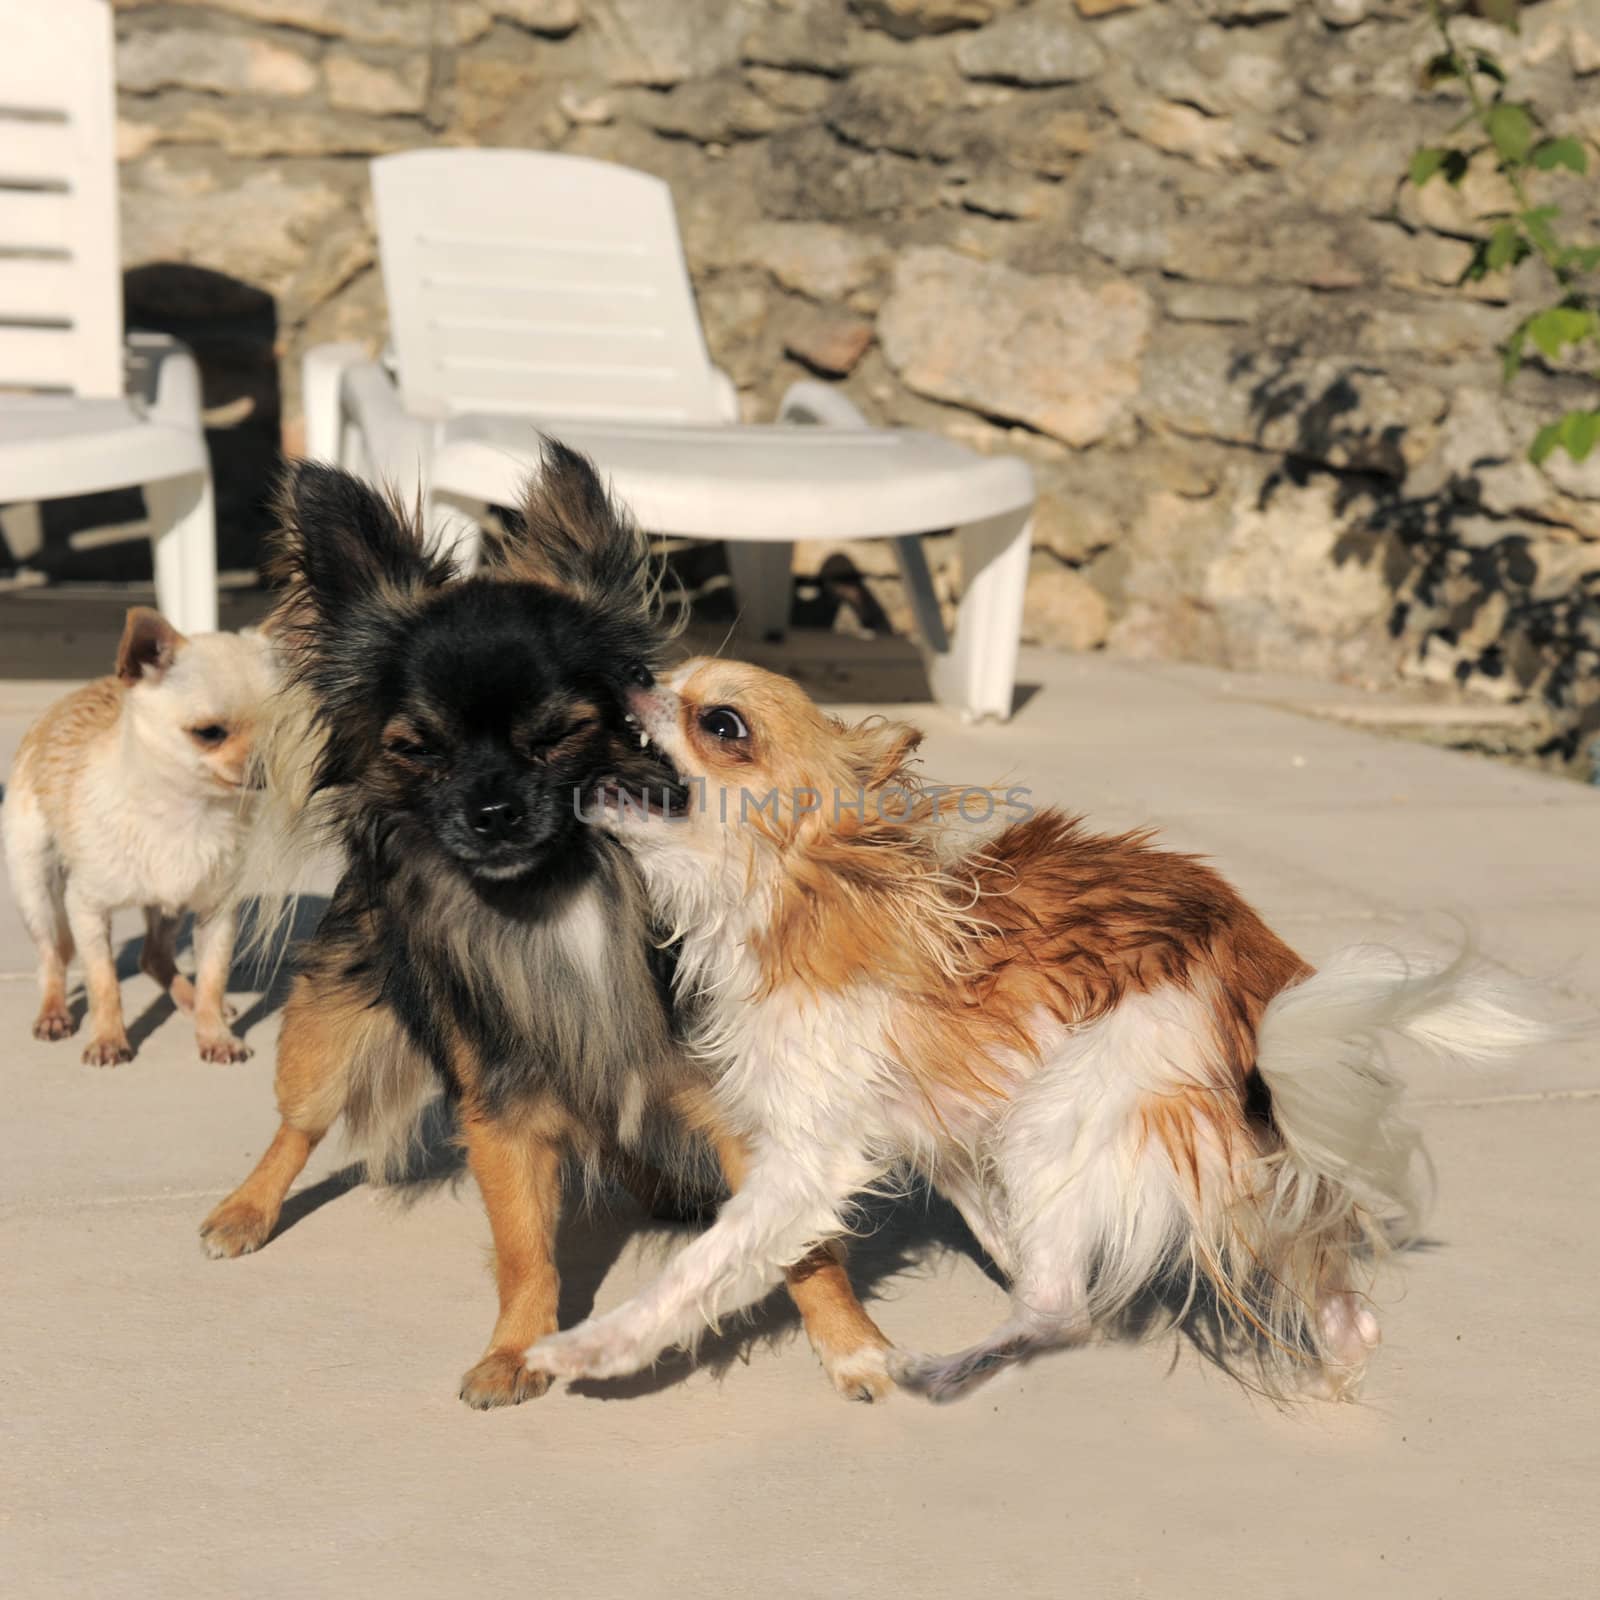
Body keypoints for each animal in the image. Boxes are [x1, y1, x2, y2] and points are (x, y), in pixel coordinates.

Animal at [200, 454, 889, 1414]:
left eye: (560, 735)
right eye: (418, 749)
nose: (490, 811)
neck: (557, 898)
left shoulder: (732, 1094)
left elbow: (806, 1244)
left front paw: (850, 1345)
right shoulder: (504, 1104)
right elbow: (526, 1246)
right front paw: (517, 1350)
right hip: (329, 1028)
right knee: (297, 1126)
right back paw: (245, 1208)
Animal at [524, 656, 1548, 1408]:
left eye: (723, 724)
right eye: (665, 675)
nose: (629, 676)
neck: (797, 900)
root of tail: (1259, 977)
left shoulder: (809, 1161)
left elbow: (701, 1270)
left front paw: (590, 1348)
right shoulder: (939, 1133)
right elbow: (988, 1220)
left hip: (1070, 1103)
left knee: (1064, 1310)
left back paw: (952, 1370)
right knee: (1285, 1293)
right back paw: (1336, 1354)